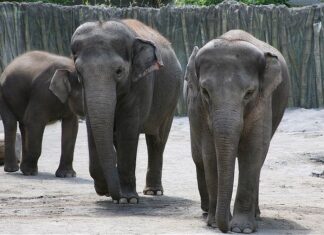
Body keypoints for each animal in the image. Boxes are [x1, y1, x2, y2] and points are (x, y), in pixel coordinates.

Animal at [70, 19, 182, 204]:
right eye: (79, 72)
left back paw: (153, 191)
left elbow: (128, 131)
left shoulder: (141, 85)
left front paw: (127, 199)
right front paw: (106, 191)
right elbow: (92, 129)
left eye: (119, 71)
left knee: (157, 140)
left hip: (172, 100)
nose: (110, 193)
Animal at [186, 29, 290, 233]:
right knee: (198, 157)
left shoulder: (263, 103)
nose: (224, 226)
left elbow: (253, 150)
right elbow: (210, 154)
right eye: (205, 91)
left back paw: (256, 214)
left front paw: (242, 229)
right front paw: (214, 223)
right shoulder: (201, 110)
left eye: (249, 93)